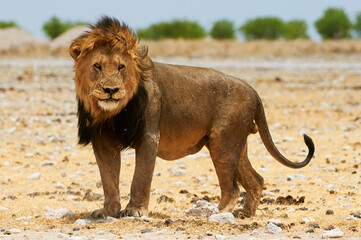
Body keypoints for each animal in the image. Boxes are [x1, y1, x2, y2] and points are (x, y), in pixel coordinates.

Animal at [69, 16, 314, 219]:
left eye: (121, 67)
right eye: (97, 66)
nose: (111, 90)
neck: (111, 114)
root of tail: (252, 89)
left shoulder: (149, 137)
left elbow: (141, 177)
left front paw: (135, 211)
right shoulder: (103, 142)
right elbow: (108, 180)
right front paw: (107, 212)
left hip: (223, 143)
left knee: (232, 188)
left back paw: (216, 213)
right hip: (236, 144)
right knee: (256, 181)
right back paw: (245, 214)